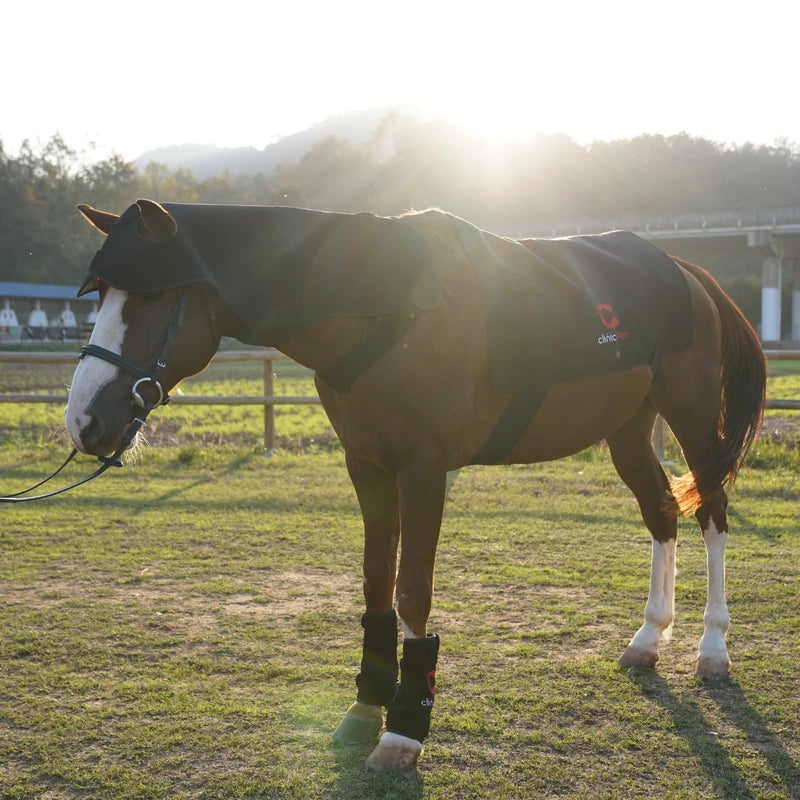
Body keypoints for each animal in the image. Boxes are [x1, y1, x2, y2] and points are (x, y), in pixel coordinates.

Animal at [65, 199, 765, 773]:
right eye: (101, 296)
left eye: (152, 298)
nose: (85, 421)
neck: (389, 310)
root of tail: (686, 270)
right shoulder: (368, 467)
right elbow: (378, 579)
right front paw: (365, 708)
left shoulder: (425, 470)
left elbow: (412, 591)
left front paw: (404, 731)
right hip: (627, 429)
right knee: (662, 513)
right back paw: (648, 639)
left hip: (692, 418)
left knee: (712, 514)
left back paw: (712, 648)